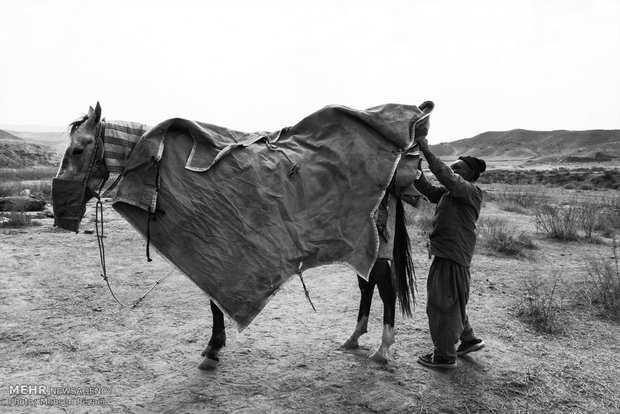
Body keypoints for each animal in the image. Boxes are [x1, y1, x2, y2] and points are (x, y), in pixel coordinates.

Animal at [53, 102, 428, 370]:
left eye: (78, 150)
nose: (62, 216)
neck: (157, 157)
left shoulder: (216, 253)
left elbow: (215, 301)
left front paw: (212, 349)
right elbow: (215, 300)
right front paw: (214, 346)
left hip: (373, 243)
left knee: (386, 289)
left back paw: (382, 349)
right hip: (364, 247)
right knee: (368, 286)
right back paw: (354, 337)